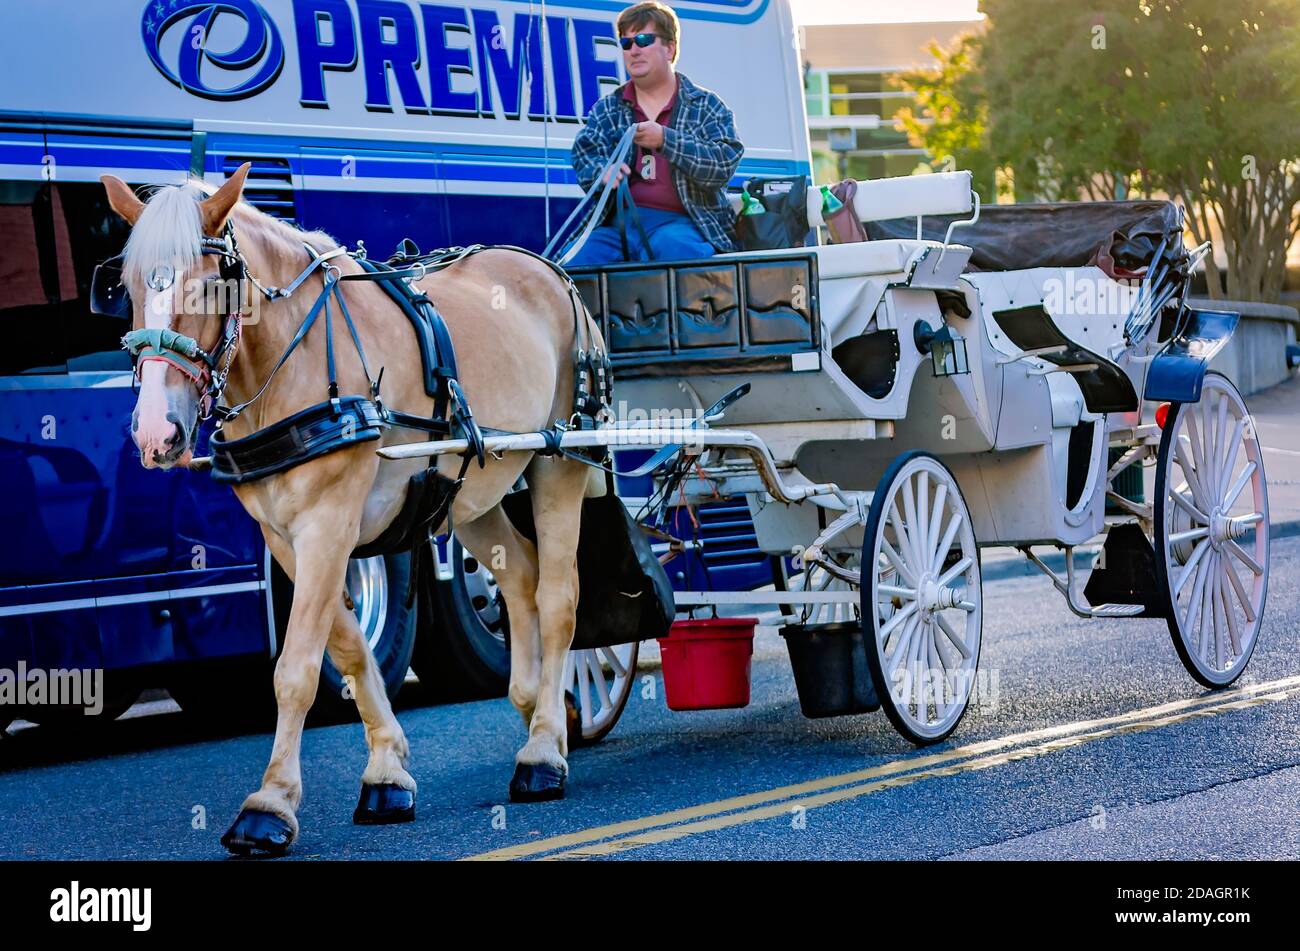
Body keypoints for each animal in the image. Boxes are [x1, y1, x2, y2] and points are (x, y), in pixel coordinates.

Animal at [102, 161, 603, 852]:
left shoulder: (329, 521)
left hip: (560, 459)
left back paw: (545, 752)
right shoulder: (286, 536)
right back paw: (535, 710)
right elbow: (346, 648)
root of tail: (550, 270)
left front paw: (270, 803)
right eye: (125, 285)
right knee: (521, 578)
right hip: (472, 494)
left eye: (208, 286)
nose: (156, 433)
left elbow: (295, 667)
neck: (293, 360)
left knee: (558, 597)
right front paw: (387, 770)